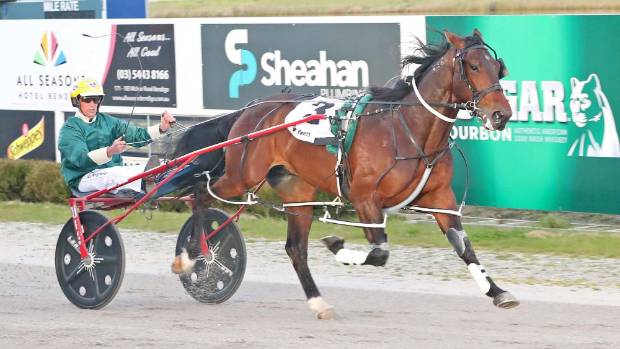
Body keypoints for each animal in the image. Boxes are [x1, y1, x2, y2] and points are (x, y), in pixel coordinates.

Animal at [170, 29, 520, 318]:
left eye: (498, 67)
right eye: (473, 67)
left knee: (295, 249)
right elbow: (379, 253)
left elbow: (463, 246)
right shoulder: (365, 198)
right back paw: (191, 256)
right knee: (199, 195)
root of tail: (251, 109)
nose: (500, 114)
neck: (408, 130)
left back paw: (318, 303)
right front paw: (337, 246)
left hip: (298, 192)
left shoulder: (440, 197)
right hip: (241, 175)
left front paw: (497, 292)